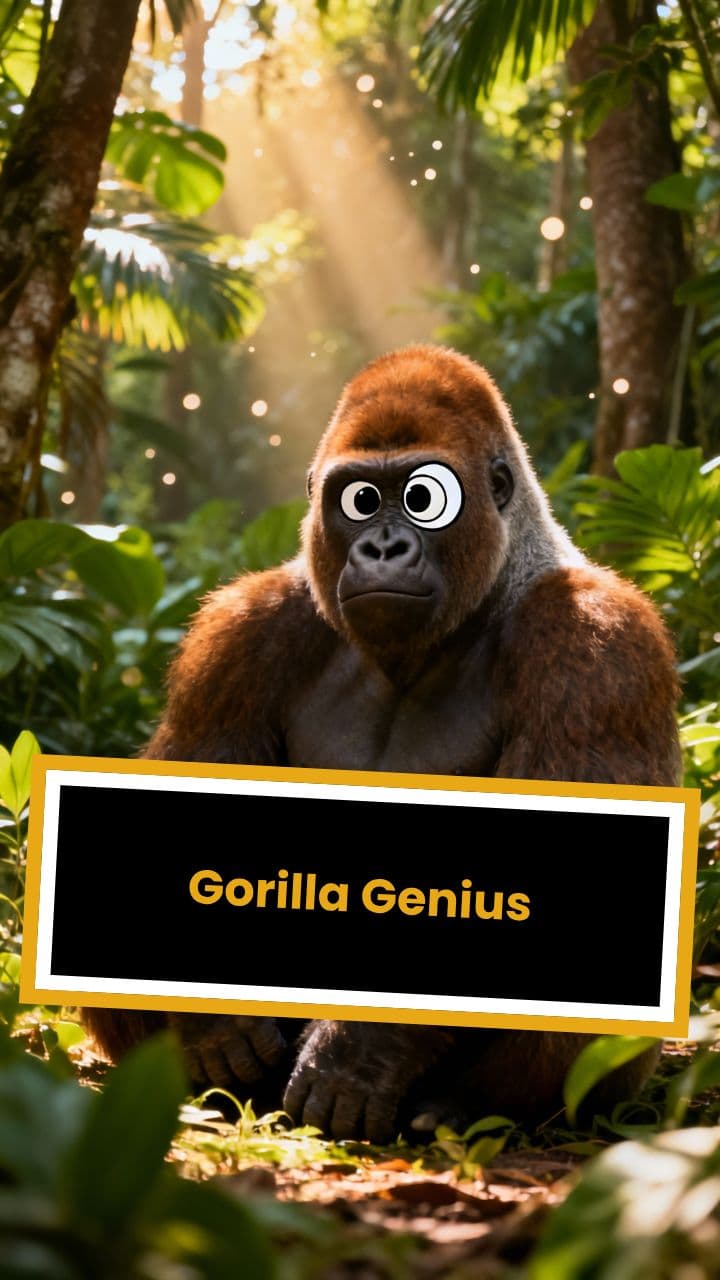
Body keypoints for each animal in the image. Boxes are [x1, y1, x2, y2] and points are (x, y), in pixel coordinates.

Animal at [84, 345, 679, 1141]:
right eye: (359, 498)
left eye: (424, 497)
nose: (384, 545)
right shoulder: (242, 630)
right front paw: (212, 1022)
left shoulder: (594, 639)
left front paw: (360, 1055)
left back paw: (469, 1107)